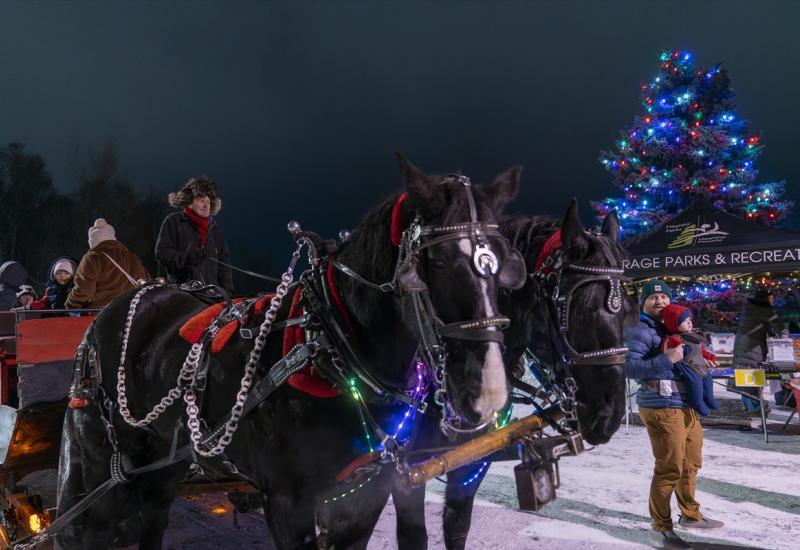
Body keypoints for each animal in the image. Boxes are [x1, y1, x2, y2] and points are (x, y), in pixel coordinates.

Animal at [53, 156, 524, 550]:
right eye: (437, 263)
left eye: (503, 266)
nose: (488, 391)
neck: (330, 344)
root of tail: (110, 313)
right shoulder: (287, 502)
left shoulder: (366, 493)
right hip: (108, 460)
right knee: (96, 529)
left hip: (162, 460)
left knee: (153, 517)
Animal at [388, 203, 636, 550]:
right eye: (579, 310)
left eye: (626, 308)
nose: (609, 416)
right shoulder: (403, 470)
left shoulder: (473, 460)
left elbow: (457, 525)